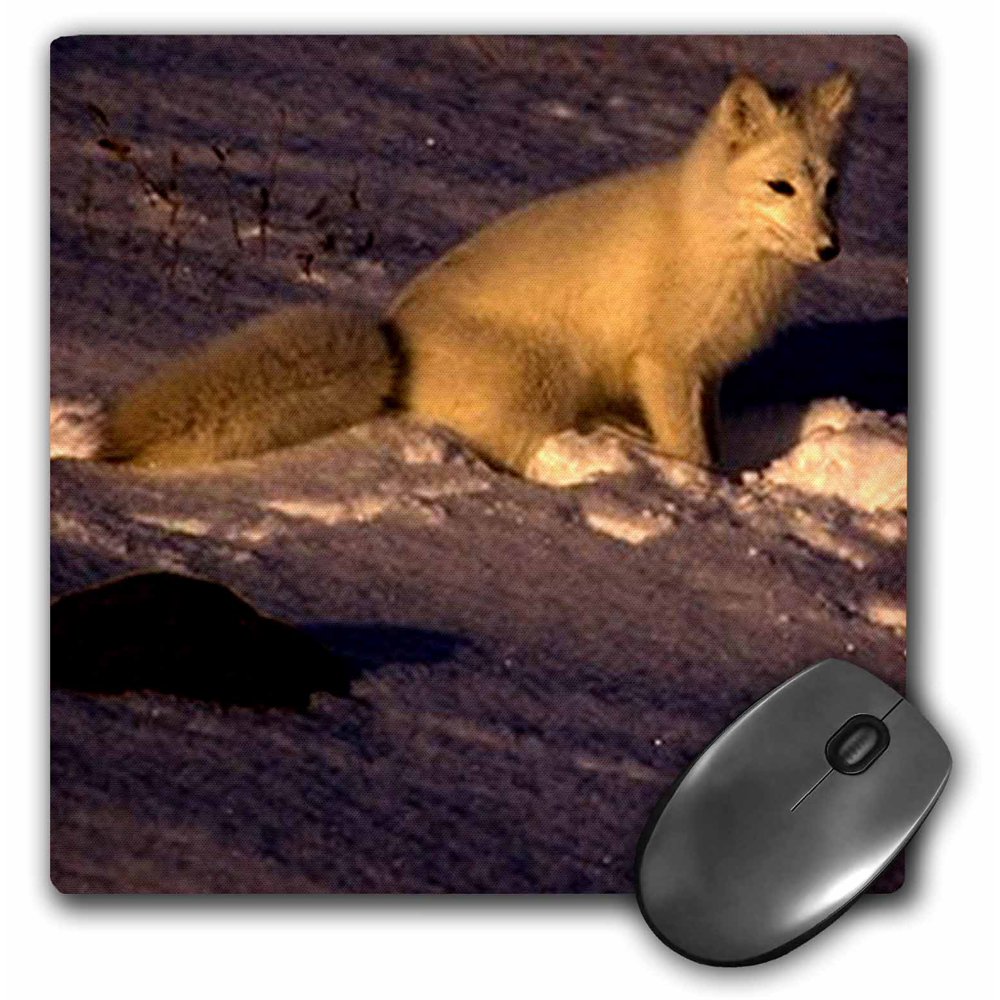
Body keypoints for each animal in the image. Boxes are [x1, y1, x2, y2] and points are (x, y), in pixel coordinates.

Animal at [100, 71, 855, 474]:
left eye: (831, 186)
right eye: (780, 187)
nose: (830, 249)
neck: (720, 239)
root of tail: (392, 340)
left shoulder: (710, 367)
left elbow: (715, 438)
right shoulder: (664, 362)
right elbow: (691, 449)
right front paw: (700, 487)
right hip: (545, 373)